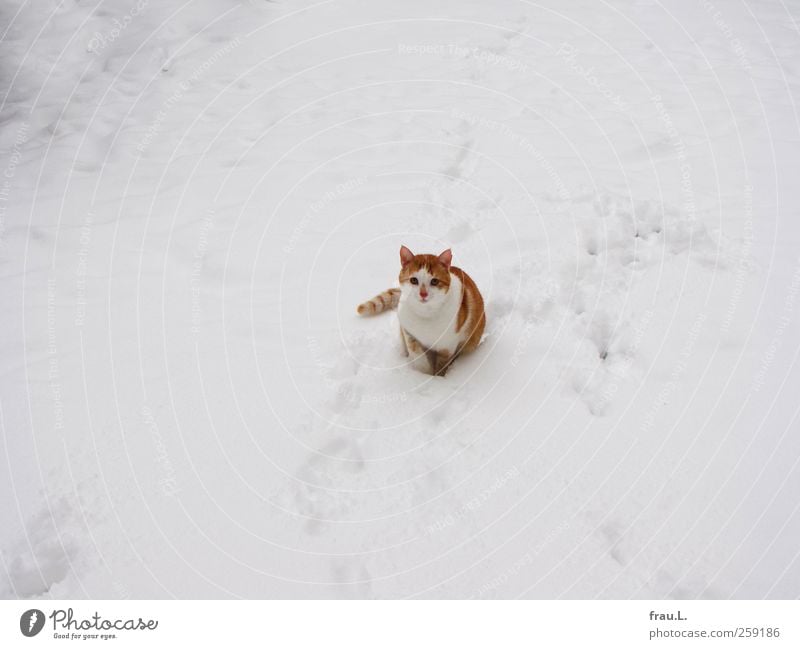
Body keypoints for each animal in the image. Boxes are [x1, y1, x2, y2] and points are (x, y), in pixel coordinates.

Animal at [358, 244, 484, 378]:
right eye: (414, 280)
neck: (425, 313)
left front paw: (436, 378)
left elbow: (441, 365)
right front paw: (423, 374)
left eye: (434, 281)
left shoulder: (447, 346)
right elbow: (417, 355)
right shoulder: (408, 331)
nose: (423, 294)